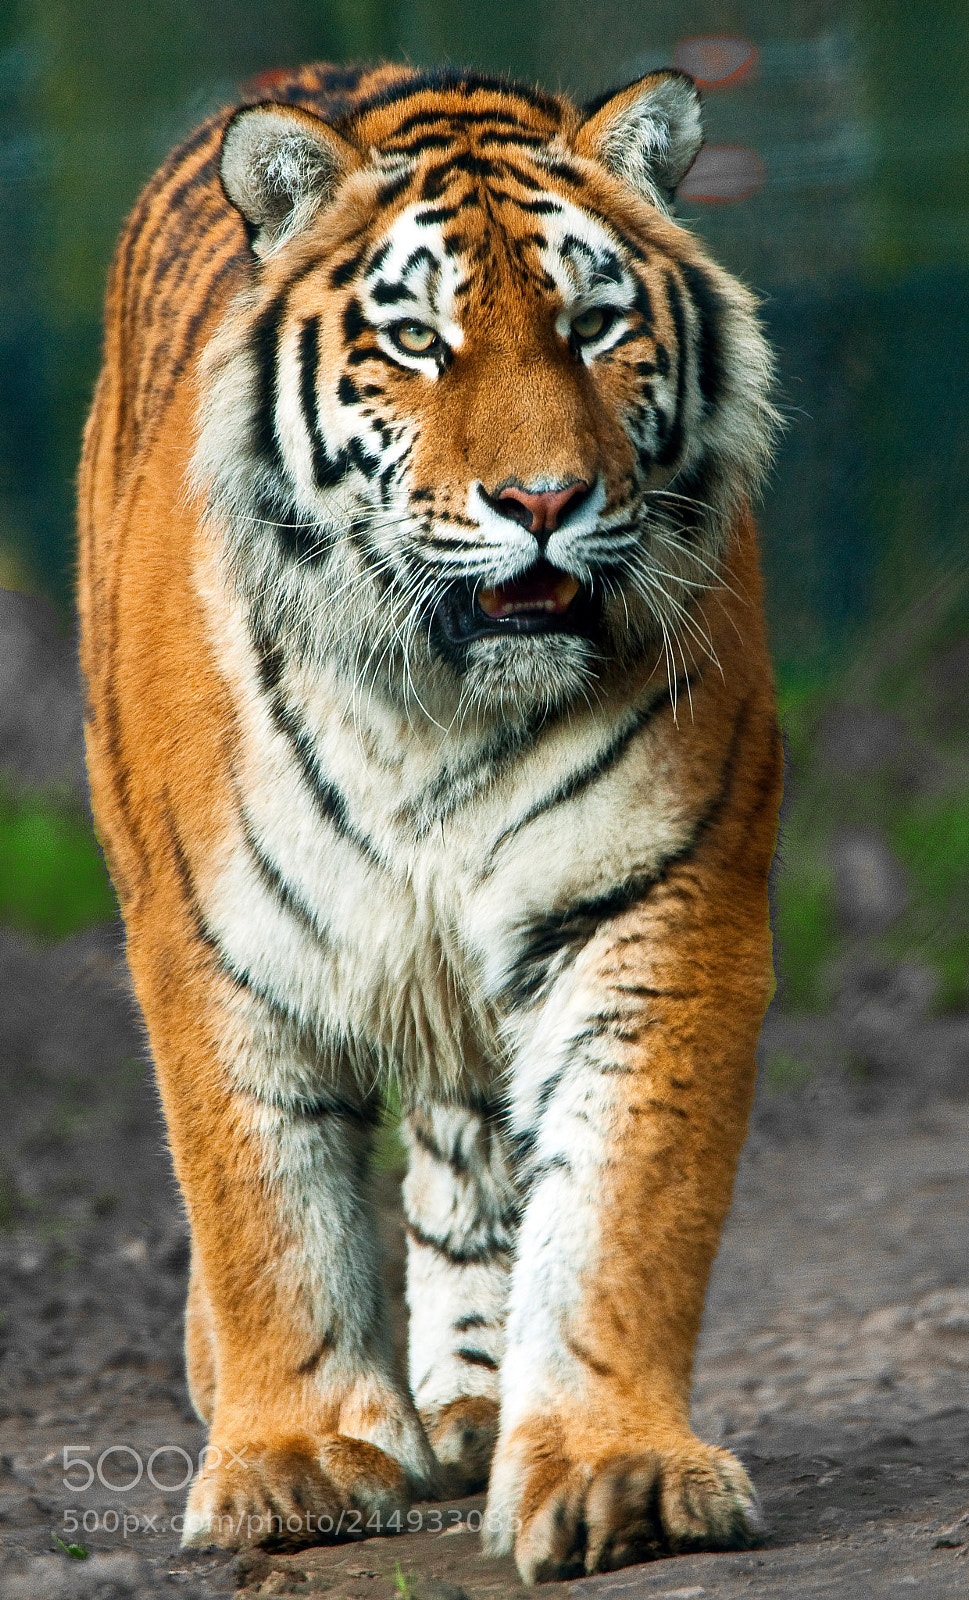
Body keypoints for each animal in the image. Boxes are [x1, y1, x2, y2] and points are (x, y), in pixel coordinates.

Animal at [78, 61, 783, 1581]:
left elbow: (619, 1205)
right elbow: (265, 1208)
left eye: (592, 325)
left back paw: (475, 1400)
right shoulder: (214, 941)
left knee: (469, 1152)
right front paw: (291, 1458)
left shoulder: (656, 903)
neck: (438, 716)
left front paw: (614, 1468)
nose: (542, 501)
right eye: (414, 340)